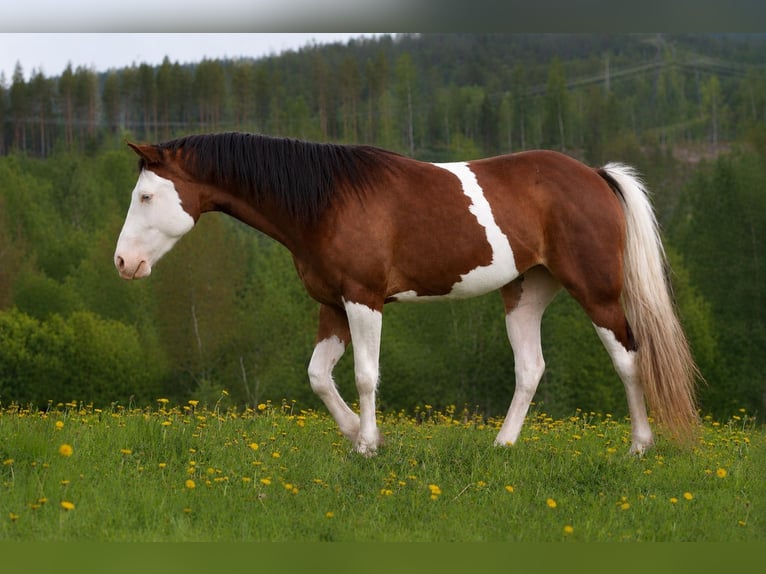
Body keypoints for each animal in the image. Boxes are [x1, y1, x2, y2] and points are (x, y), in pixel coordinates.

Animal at [114, 132, 700, 456]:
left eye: (145, 196)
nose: (123, 262)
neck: (325, 201)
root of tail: (595, 176)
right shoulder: (332, 306)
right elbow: (319, 377)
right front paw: (361, 437)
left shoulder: (363, 299)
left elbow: (364, 376)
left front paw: (368, 446)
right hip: (525, 294)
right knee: (531, 368)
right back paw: (503, 446)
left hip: (596, 292)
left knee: (629, 357)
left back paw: (638, 447)